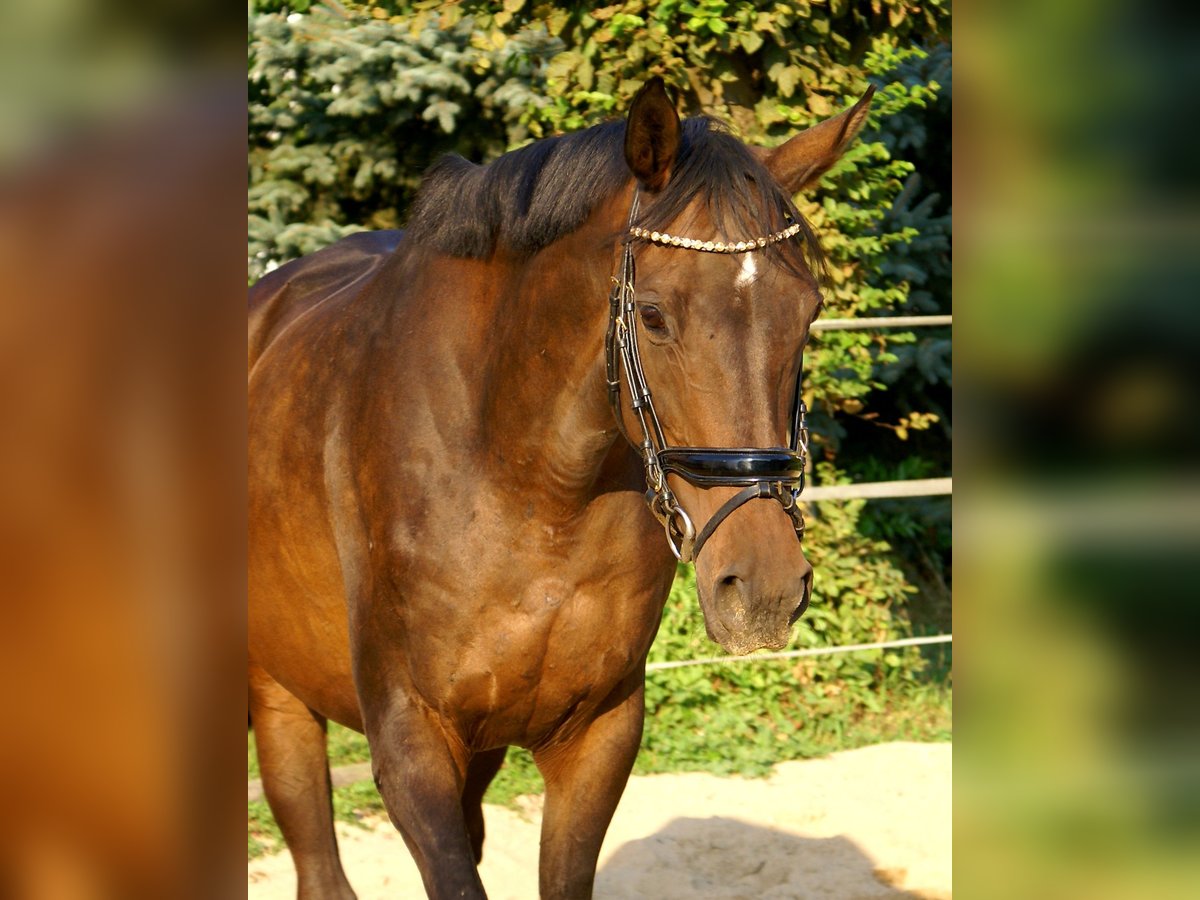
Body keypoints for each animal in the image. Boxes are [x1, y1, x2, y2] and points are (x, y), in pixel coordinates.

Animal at [250, 77, 873, 900]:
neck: (529, 489)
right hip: (277, 696)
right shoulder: (411, 746)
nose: (765, 588)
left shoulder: (597, 736)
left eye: (806, 316)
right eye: (653, 315)